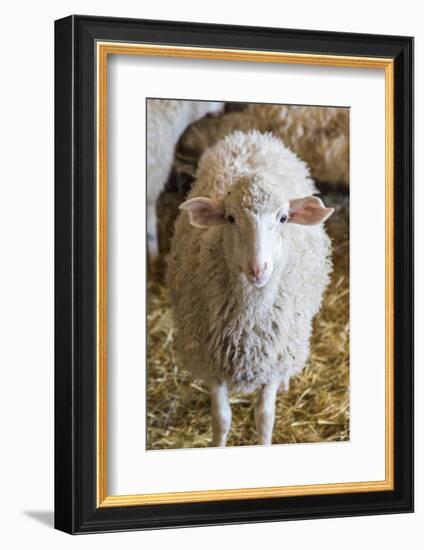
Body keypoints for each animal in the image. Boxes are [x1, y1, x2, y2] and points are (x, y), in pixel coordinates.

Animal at [166, 130, 334, 448]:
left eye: (283, 218)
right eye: (231, 218)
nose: (258, 269)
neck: (248, 326)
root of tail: (252, 136)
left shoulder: (272, 360)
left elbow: (265, 417)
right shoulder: (212, 362)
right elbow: (221, 419)